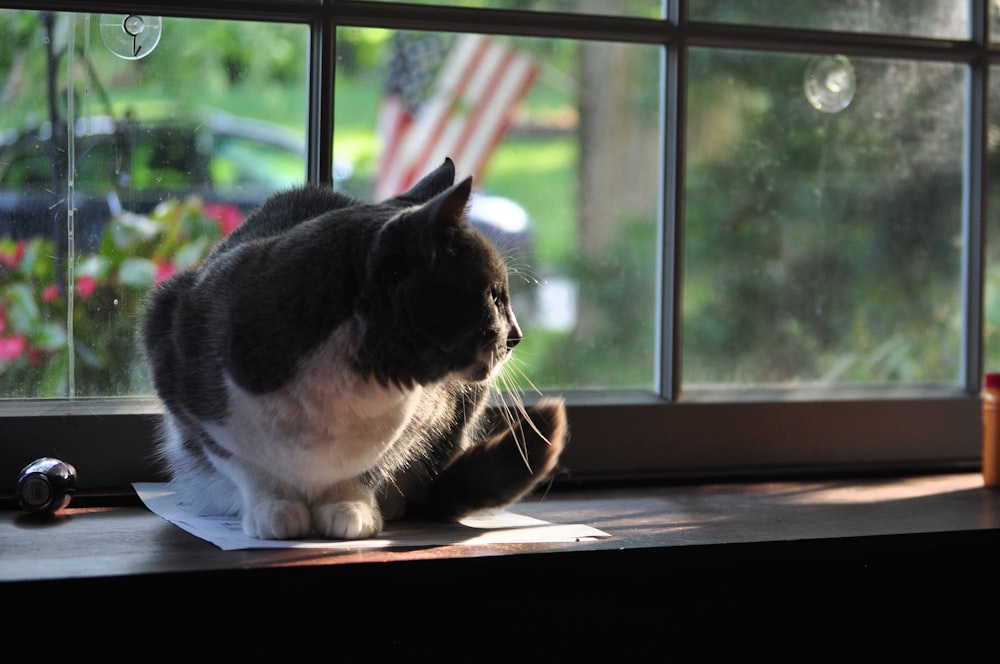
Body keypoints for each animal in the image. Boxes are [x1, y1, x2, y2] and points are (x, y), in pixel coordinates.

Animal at [137, 157, 568, 540]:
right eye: (494, 296)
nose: (517, 336)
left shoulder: (427, 413)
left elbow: (372, 463)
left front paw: (350, 507)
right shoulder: (171, 343)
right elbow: (242, 462)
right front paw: (273, 508)